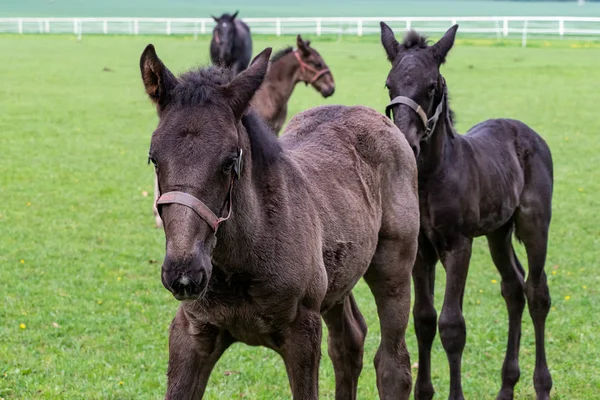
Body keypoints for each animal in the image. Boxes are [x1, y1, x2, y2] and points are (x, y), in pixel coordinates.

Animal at [142, 43, 420, 396]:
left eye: (229, 160)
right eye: (154, 157)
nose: (183, 273)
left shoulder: (302, 331)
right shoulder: (192, 331)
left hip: (394, 268)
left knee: (393, 364)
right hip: (339, 276)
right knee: (349, 341)